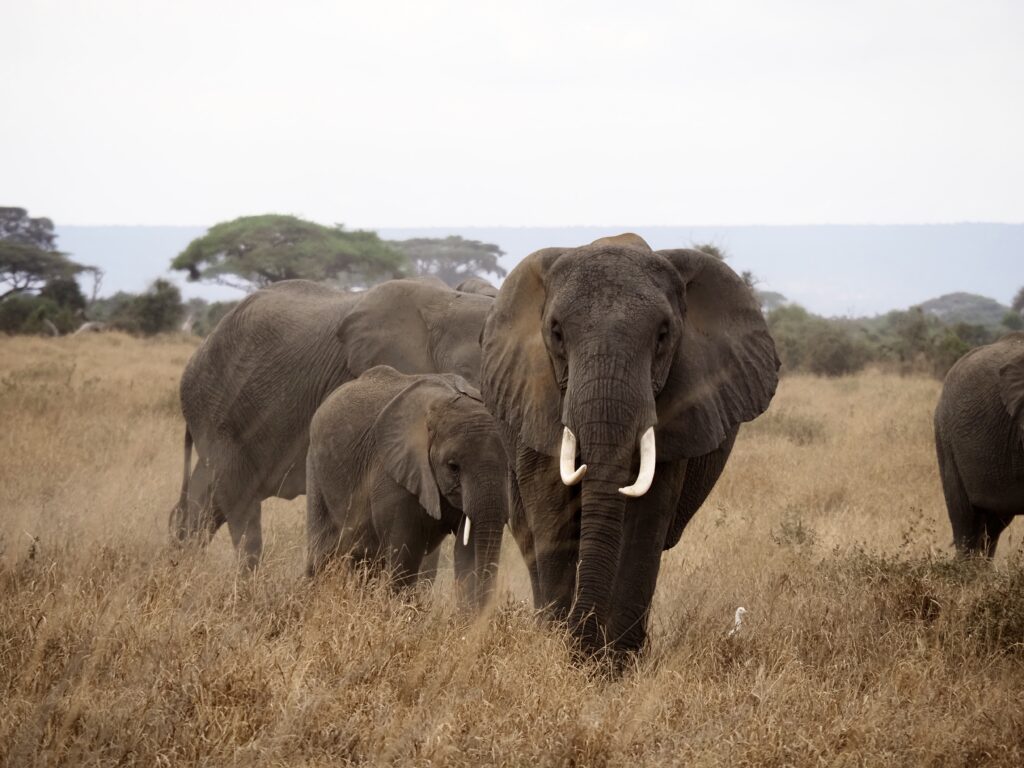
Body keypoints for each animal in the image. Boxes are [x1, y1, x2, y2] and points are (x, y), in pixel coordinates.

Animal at [305, 364, 509, 610]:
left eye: (508, 467)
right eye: (453, 467)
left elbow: (467, 552)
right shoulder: (392, 474)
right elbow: (405, 555)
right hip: (316, 472)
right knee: (323, 551)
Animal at [477, 234, 774, 663]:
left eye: (663, 335)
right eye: (557, 333)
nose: (581, 641)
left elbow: (645, 520)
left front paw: (613, 665)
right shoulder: (535, 393)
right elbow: (553, 515)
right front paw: (560, 652)